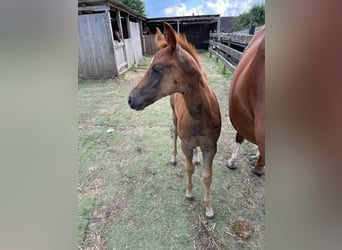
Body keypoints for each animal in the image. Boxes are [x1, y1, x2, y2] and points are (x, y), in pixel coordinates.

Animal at [128, 23, 222, 219]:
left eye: (157, 69)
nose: (130, 99)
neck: (201, 116)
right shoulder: (186, 144)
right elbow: (189, 168)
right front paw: (189, 194)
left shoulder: (211, 147)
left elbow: (207, 176)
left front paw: (209, 208)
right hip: (174, 117)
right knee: (175, 135)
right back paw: (173, 158)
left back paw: (196, 157)